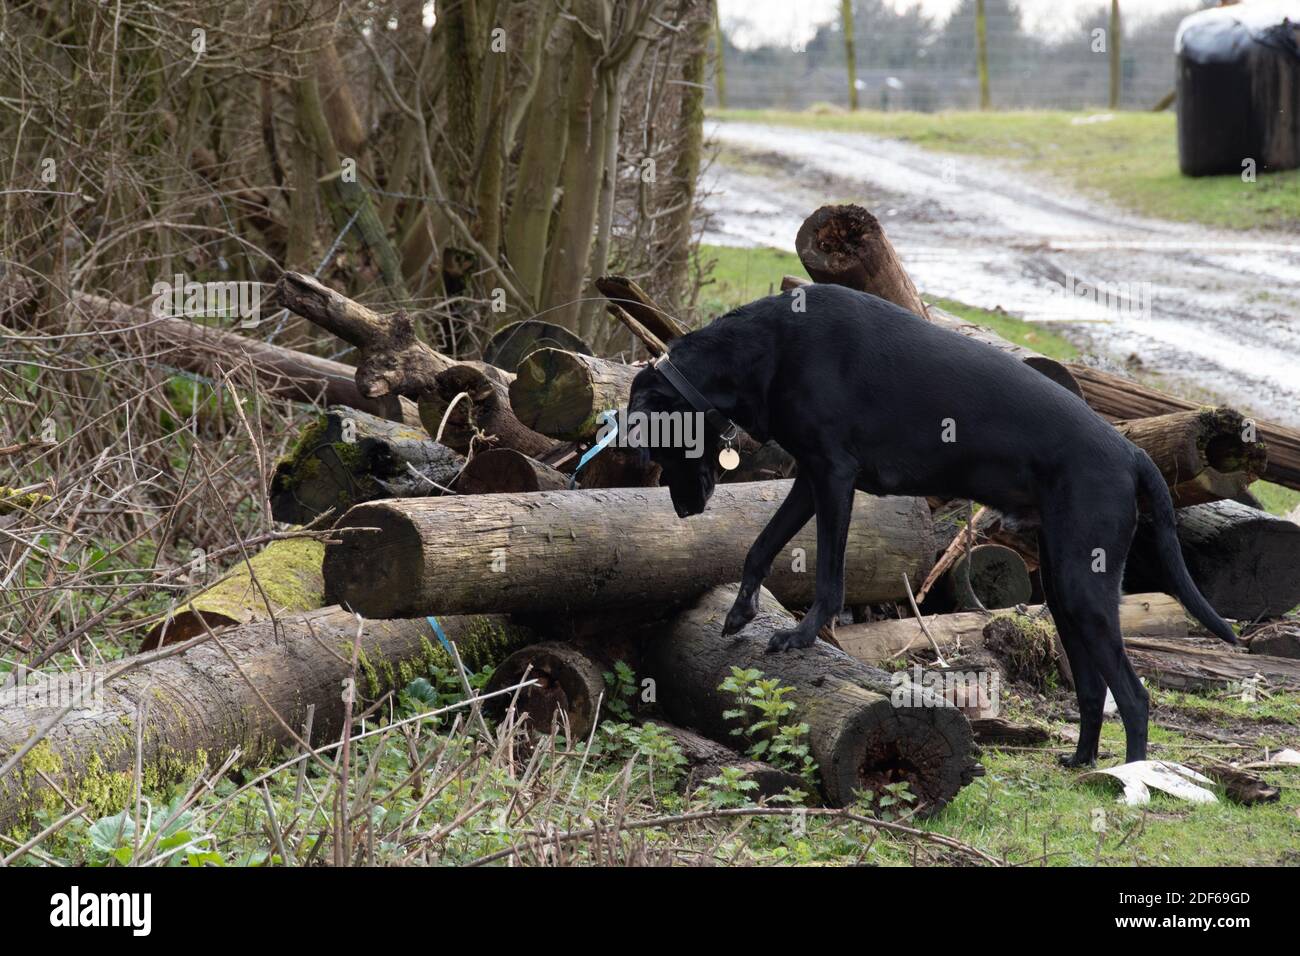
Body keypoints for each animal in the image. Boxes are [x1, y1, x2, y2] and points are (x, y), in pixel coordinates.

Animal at [629, 286, 1237, 770]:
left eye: (655, 443)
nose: (683, 511)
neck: (768, 347)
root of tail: (1132, 451)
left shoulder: (834, 476)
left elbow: (828, 577)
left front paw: (801, 635)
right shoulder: (810, 476)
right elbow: (760, 545)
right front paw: (740, 612)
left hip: (1083, 585)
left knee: (1133, 697)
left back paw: (1131, 780)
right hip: (1067, 586)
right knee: (1092, 689)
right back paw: (1081, 761)